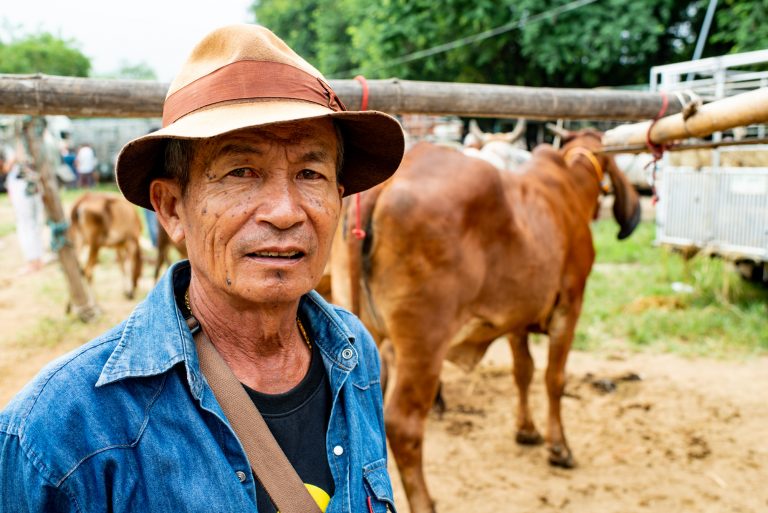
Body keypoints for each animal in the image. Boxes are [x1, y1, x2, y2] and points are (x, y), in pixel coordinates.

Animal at [332, 129, 640, 512]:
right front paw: (559, 446)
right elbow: (554, 379)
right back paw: (425, 502)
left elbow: (523, 371)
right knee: (403, 425)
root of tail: (384, 185)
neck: (568, 187)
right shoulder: (570, 306)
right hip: (424, 344)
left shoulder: (517, 318)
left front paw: (527, 430)